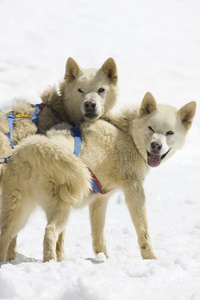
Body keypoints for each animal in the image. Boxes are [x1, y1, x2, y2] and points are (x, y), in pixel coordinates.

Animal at [0, 92, 195, 262]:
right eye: (151, 128)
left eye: (169, 132)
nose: (156, 145)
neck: (127, 134)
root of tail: (32, 149)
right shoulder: (134, 189)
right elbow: (143, 229)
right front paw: (151, 257)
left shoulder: (100, 199)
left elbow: (98, 235)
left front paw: (104, 258)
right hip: (61, 209)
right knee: (50, 231)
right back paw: (50, 262)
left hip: (19, 212)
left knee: (6, 232)